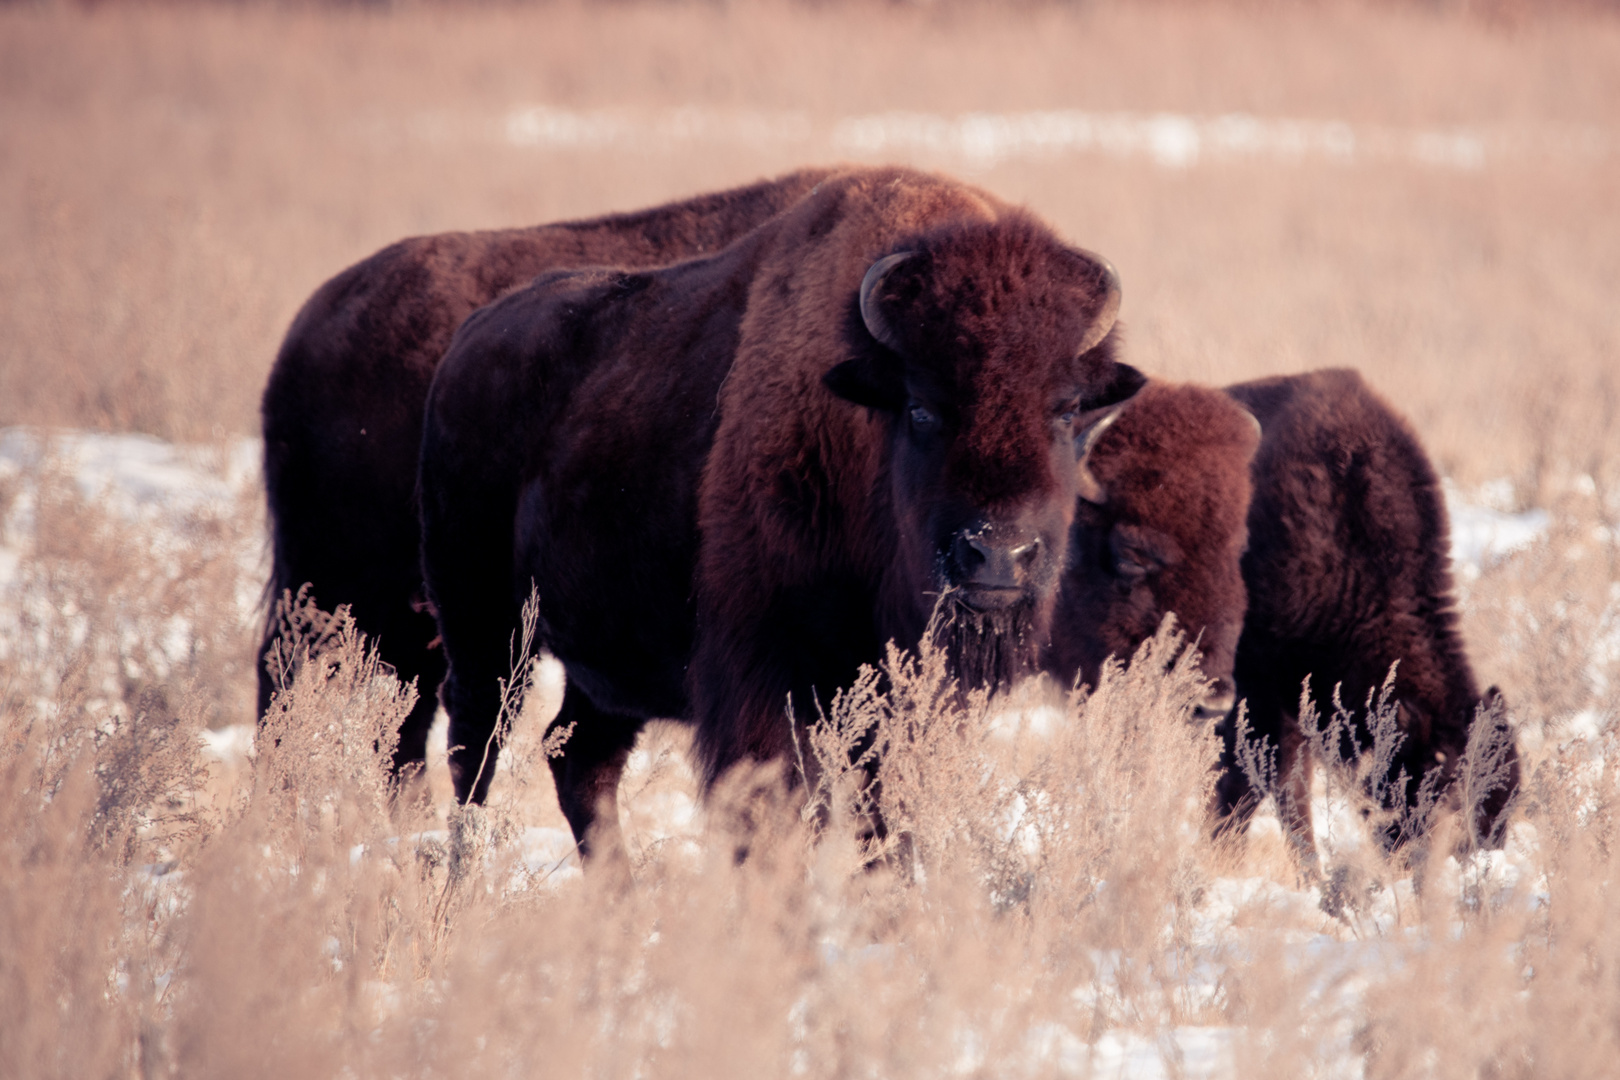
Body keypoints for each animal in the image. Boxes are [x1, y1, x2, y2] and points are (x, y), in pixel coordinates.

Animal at [424, 165, 1146, 854]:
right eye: (921, 407)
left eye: (1066, 410)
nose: (997, 555)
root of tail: (466, 343)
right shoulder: (763, 681)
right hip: (485, 630)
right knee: (474, 750)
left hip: (601, 664)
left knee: (581, 759)